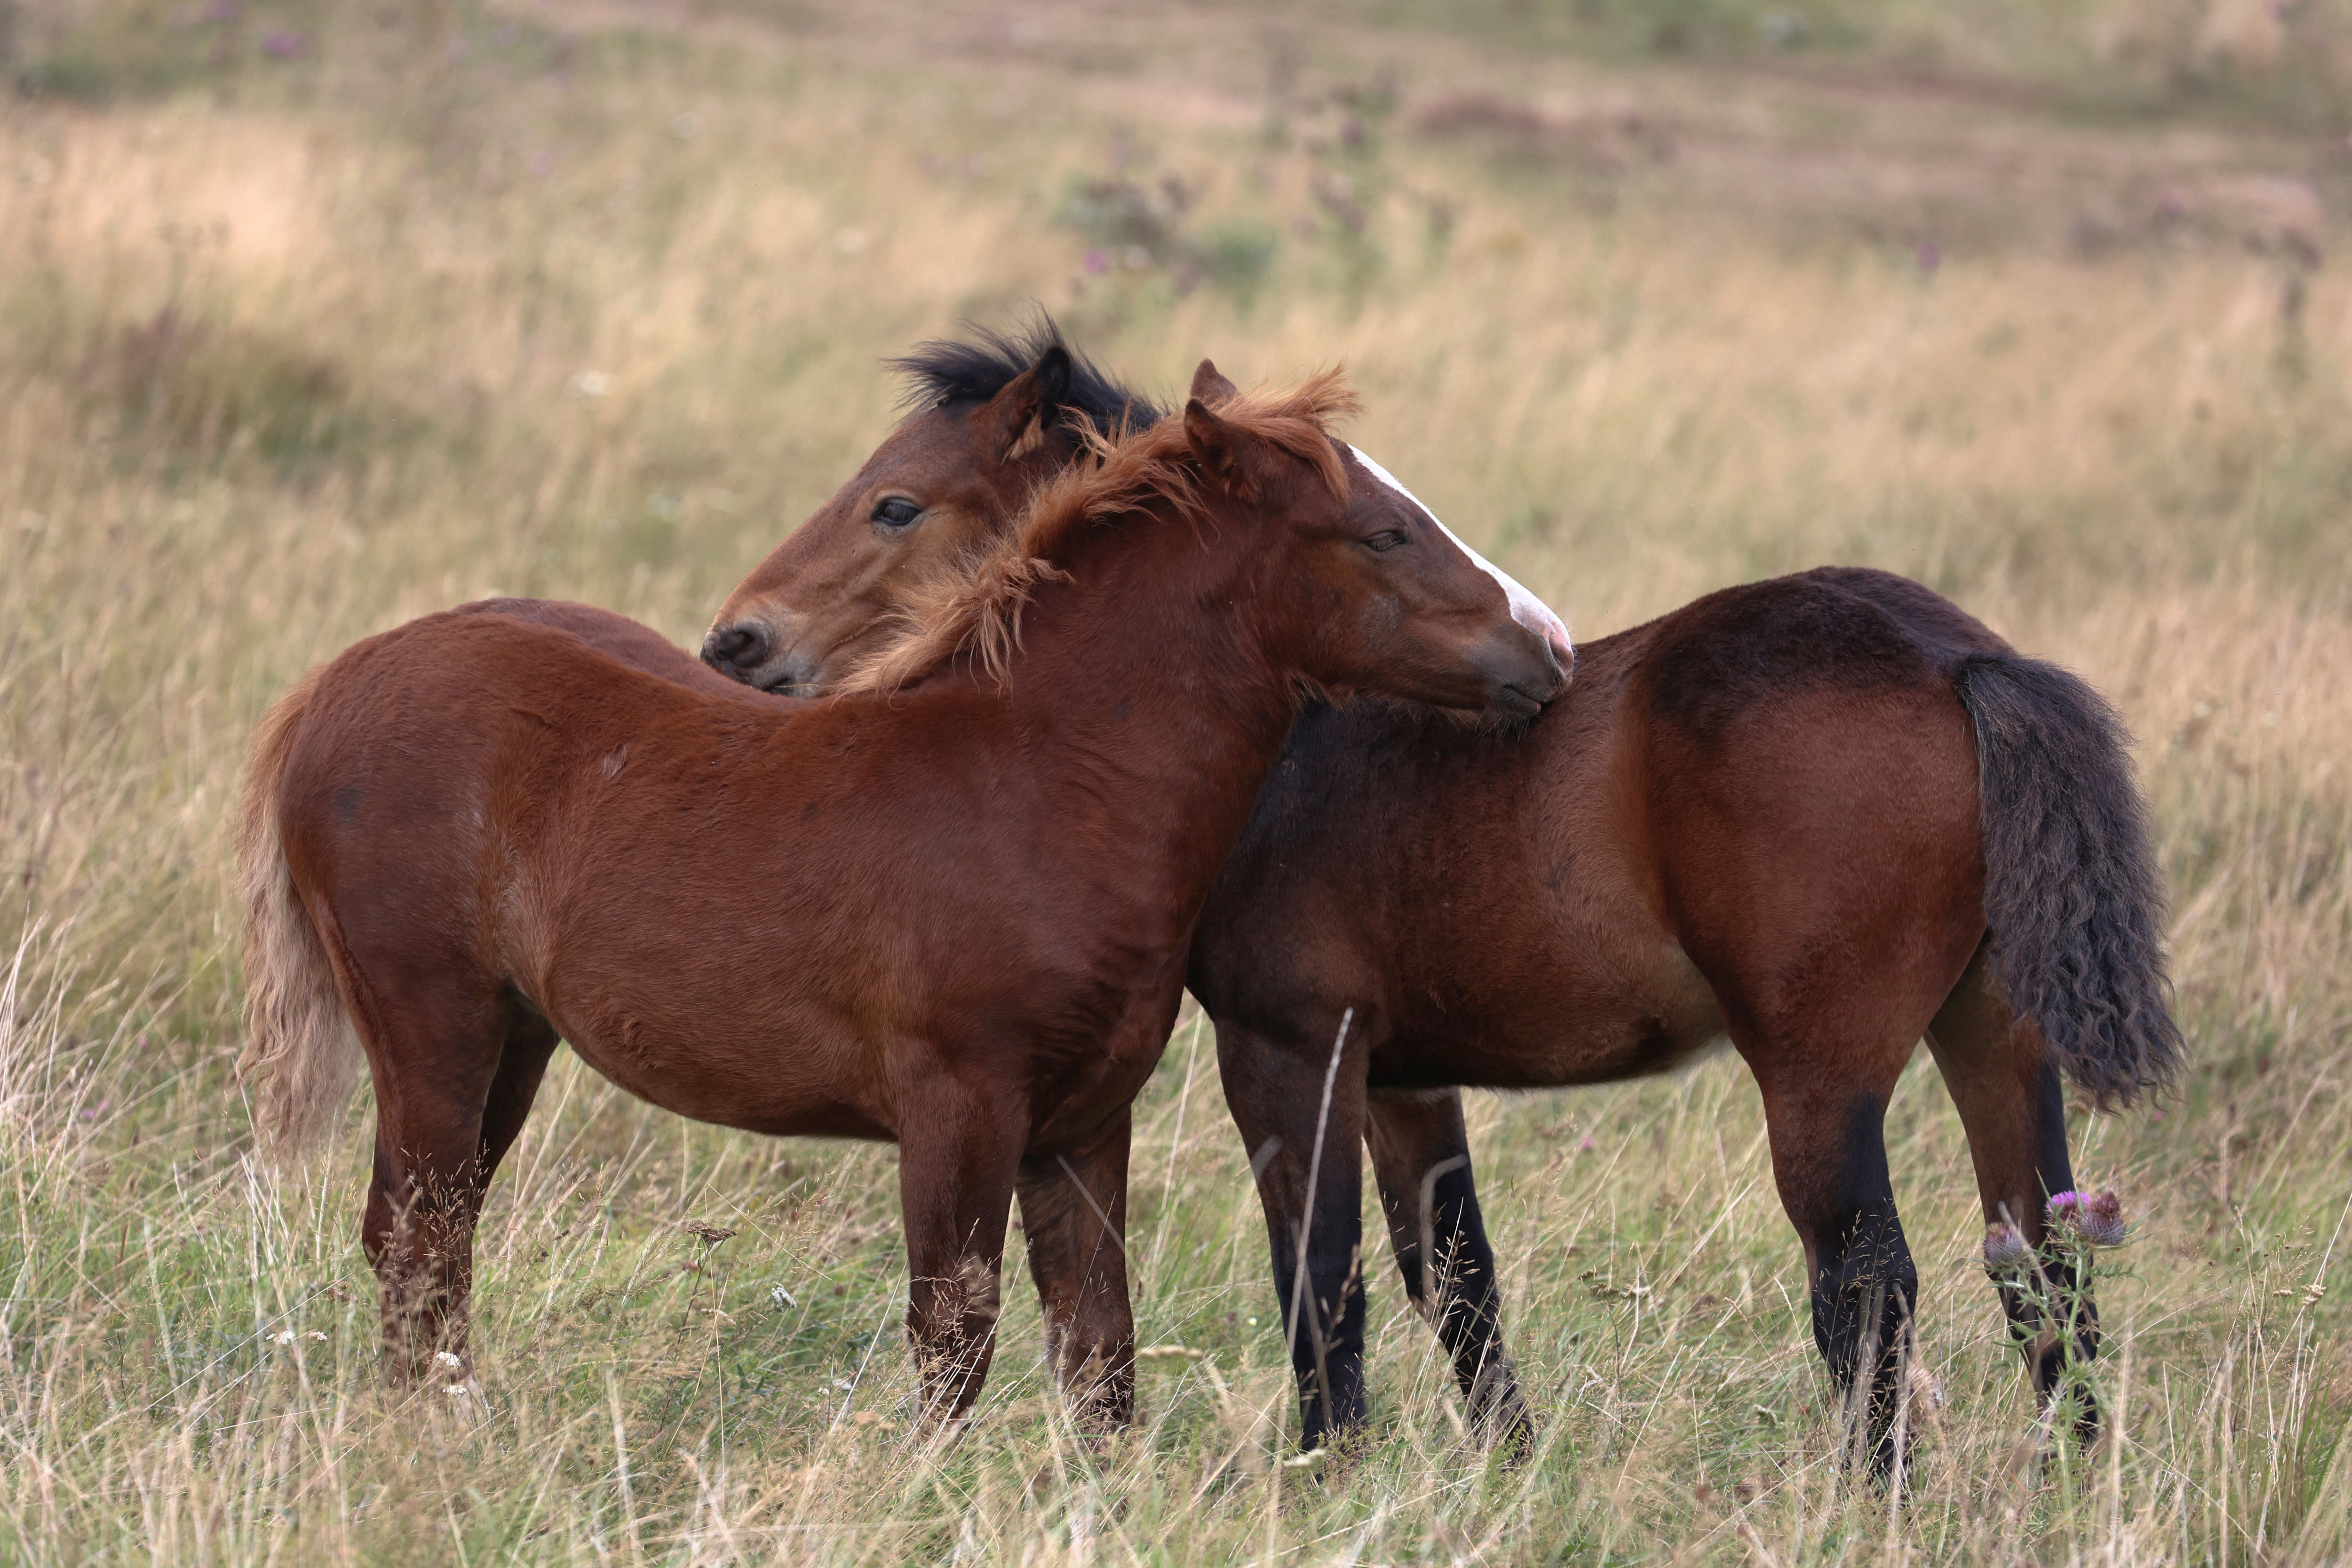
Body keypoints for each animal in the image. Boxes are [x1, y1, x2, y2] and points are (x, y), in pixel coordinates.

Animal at [238, 364, 1571, 1420]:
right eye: (1383, 533)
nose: (1549, 646)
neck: (1043, 778)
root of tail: (334, 682)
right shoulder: (956, 1107)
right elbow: (955, 1341)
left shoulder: (1082, 1124)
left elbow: (1099, 1353)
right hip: (432, 1022)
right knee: (417, 1234)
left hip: (512, 1039)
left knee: (435, 1233)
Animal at [706, 374, 2173, 1476]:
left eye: (896, 501)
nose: (737, 642)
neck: (1283, 727)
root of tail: (1959, 653)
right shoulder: (1407, 1075)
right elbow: (1457, 1279)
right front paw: (1511, 1471)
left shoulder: (1289, 1048)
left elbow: (1324, 1272)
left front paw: (1325, 1470)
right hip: (1993, 1036)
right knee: (2041, 1260)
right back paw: (2073, 1477)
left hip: (1821, 1070)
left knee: (1866, 1280)